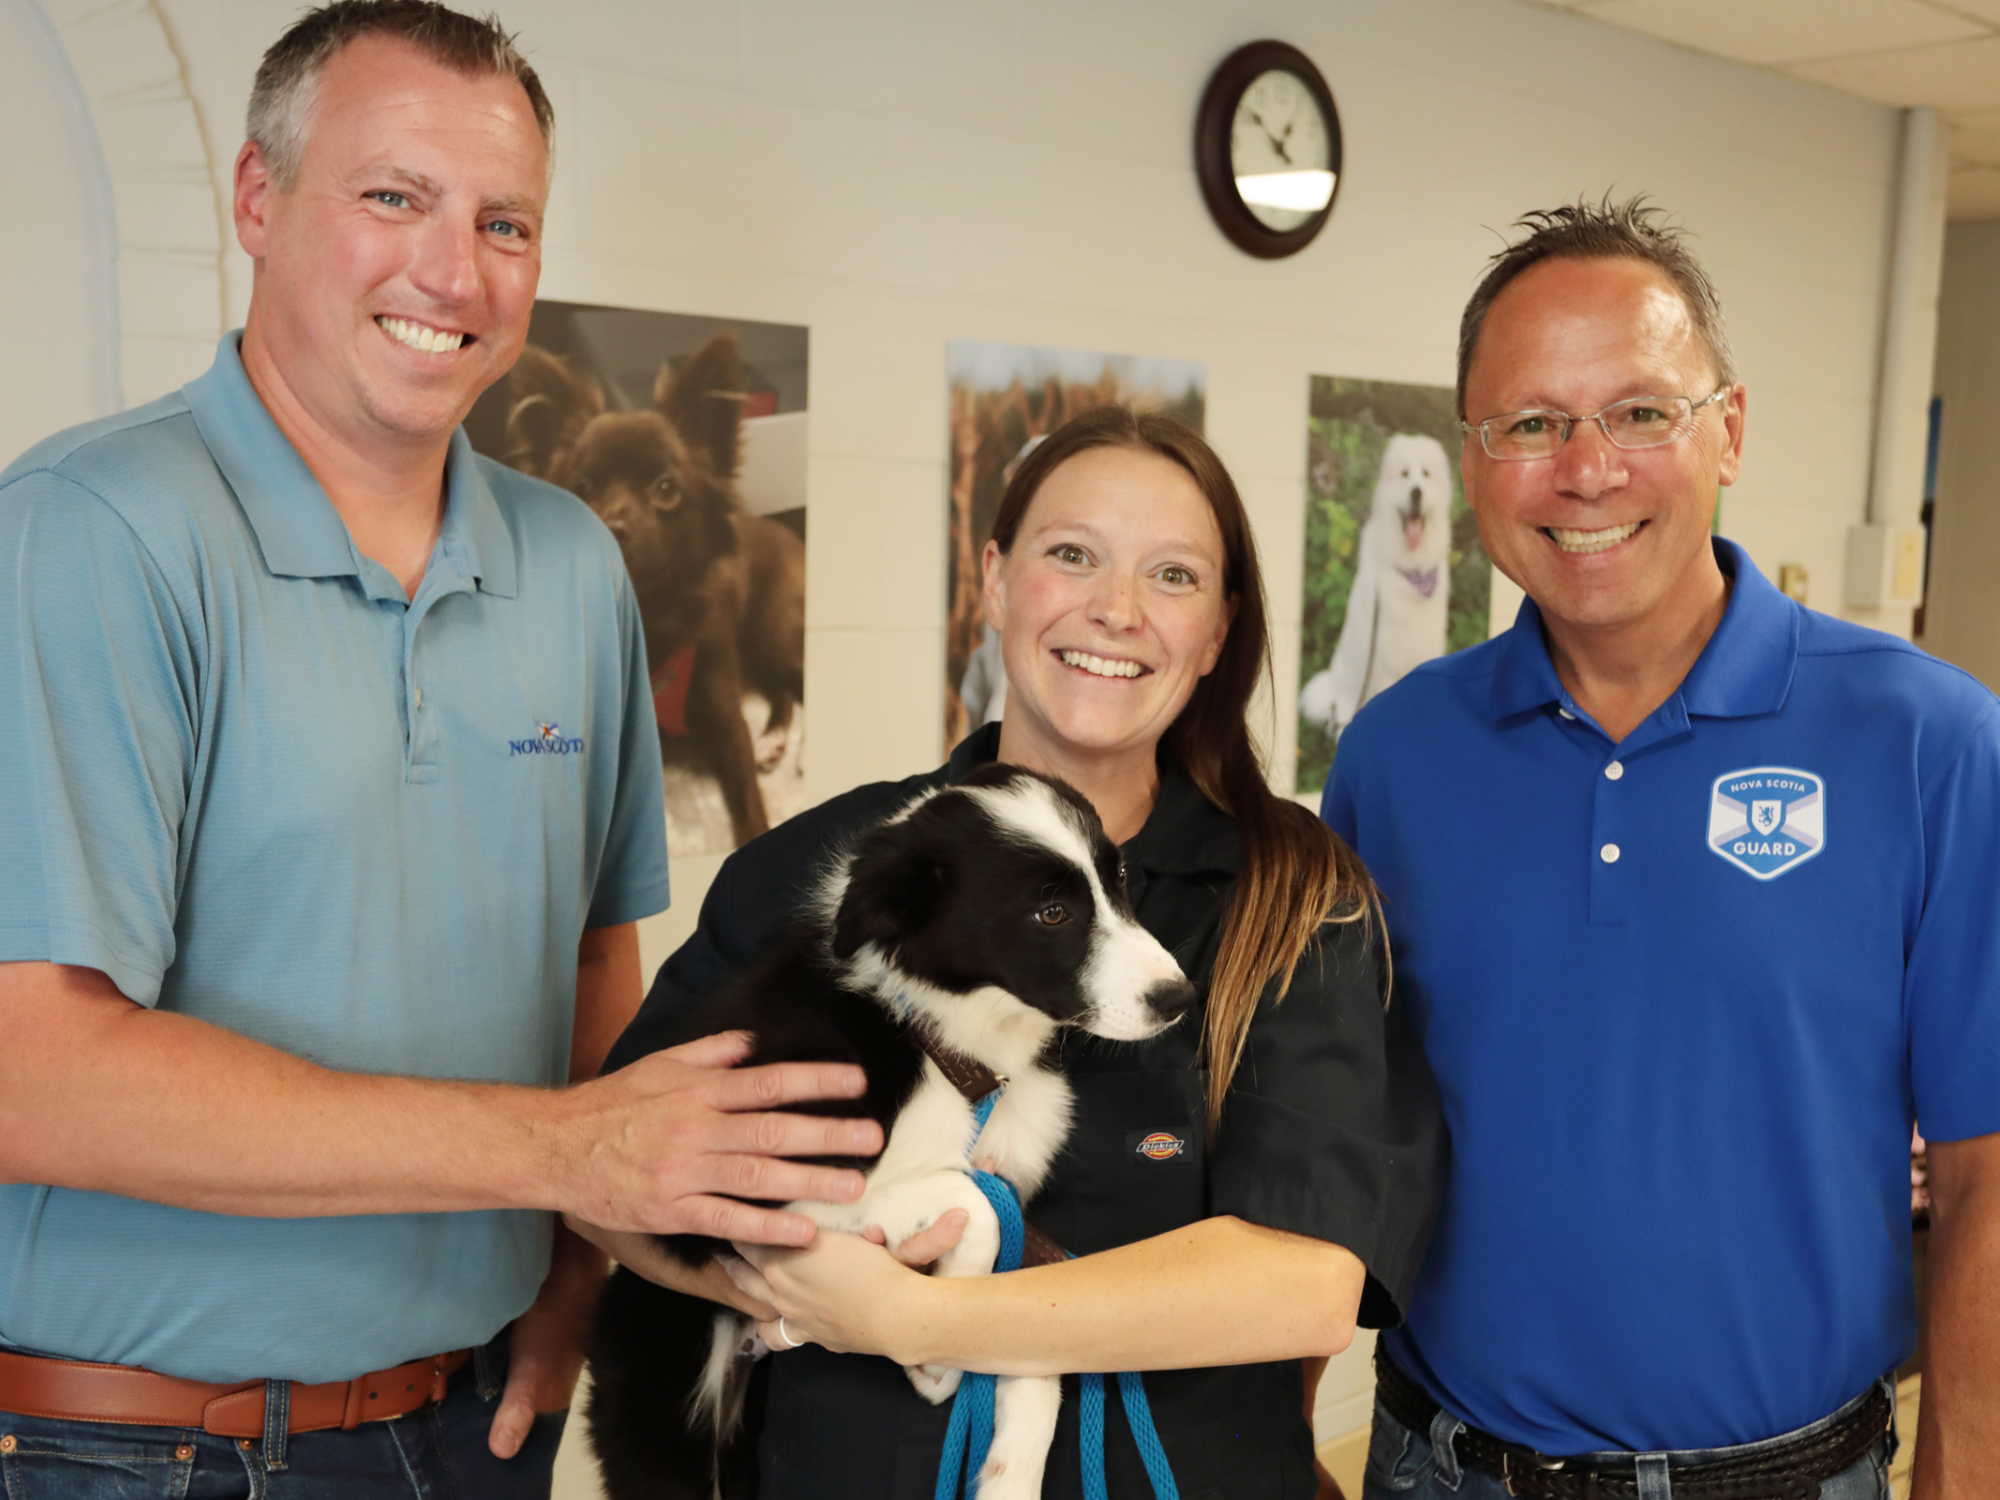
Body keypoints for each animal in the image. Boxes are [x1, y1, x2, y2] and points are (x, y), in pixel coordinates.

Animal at [588, 768, 1184, 1500]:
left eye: (1118, 878)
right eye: (1051, 912)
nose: (1179, 997)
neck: (949, 1048)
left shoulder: (1017, 1203)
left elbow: (1035, 1345)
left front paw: (1006, 1471)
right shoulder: (751, 1186)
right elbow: (970, 1205)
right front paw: (941, 1353)